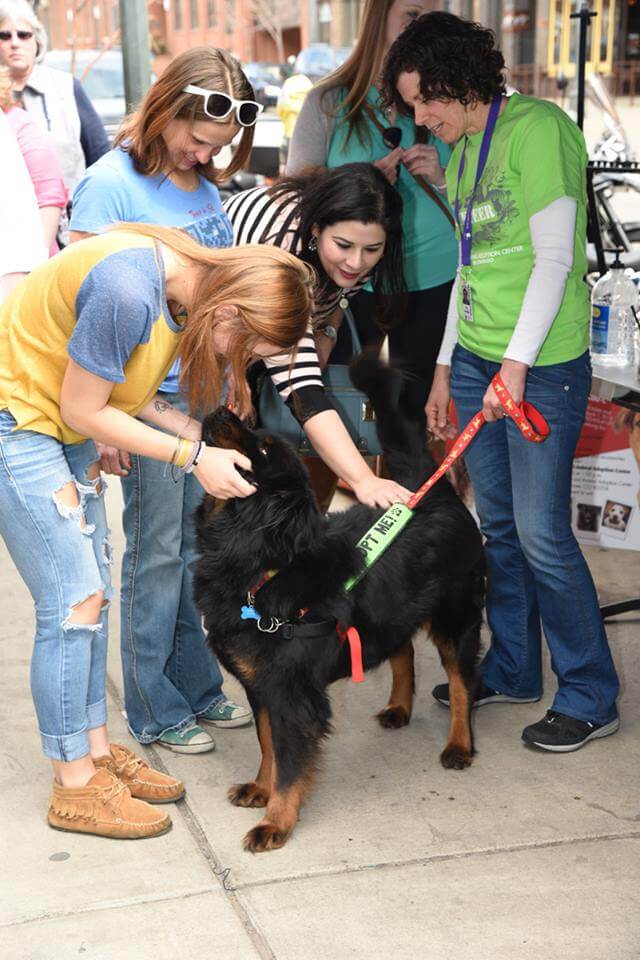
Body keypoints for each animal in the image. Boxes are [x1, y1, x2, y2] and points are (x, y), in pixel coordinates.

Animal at [192, 356, 482, 852]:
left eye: (263, 449)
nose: (225, 409)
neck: (263, 569)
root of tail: (429, 491)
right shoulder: (262, 686)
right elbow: (267, 744)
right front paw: (261, 788)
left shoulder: (292, 693)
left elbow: (289, 761)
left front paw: (276, 821)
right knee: (402, 648)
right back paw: (399, 708)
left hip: (456, 617)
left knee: (462, 682)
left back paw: (459, 746)